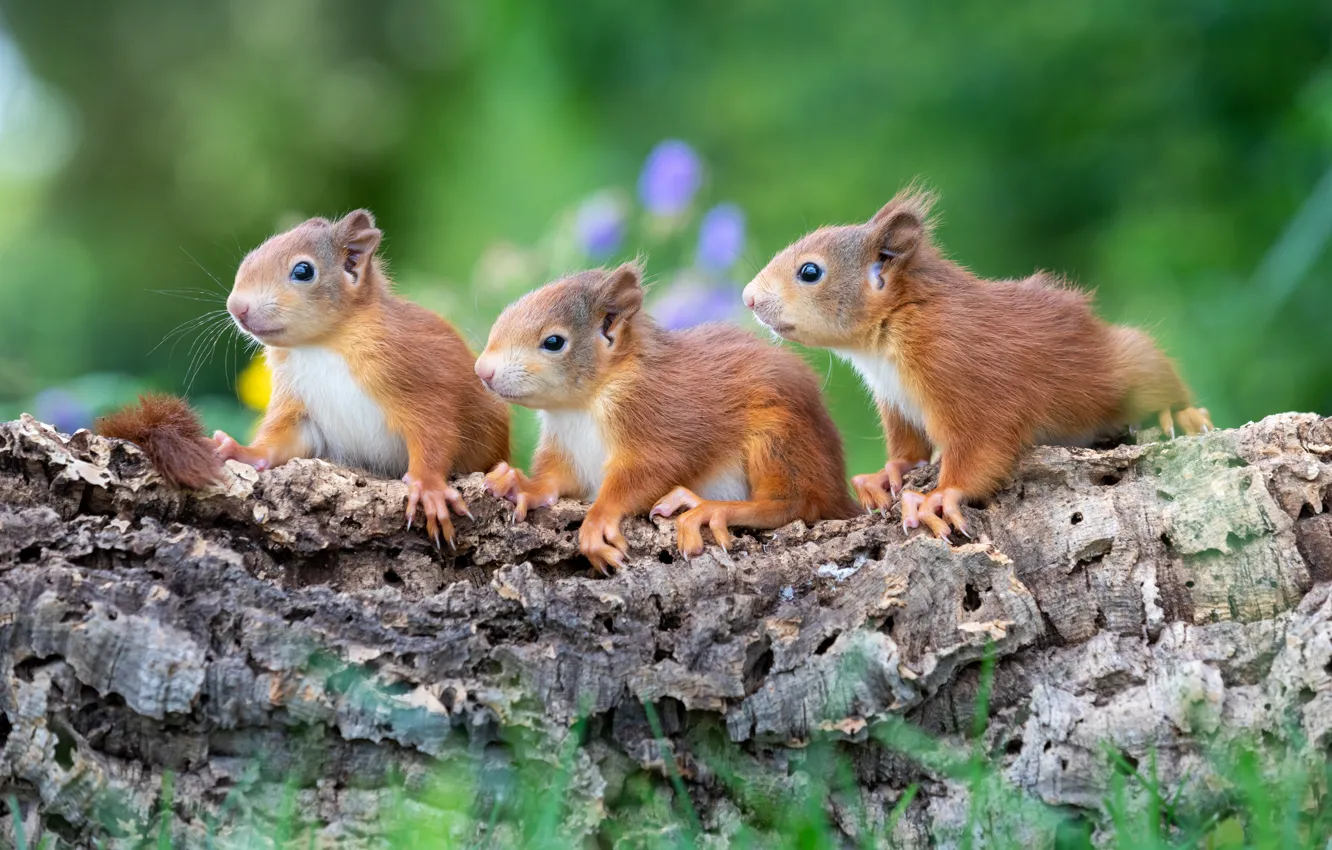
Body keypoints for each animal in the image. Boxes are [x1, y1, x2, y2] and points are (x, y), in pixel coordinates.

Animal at [212, 210, 510, 548]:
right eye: (249, 258)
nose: (237, 307)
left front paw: (428, 487)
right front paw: (241, 451)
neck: (322, 344)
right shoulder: (297, 402)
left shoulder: (418, 379)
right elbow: (279, 443)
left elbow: (435, 432)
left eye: (303, 271)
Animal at [473, 262, 859, 572]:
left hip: (778, 437)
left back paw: (710, 508)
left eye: (554, 342)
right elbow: (554, 481)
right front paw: (523, 486)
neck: (582, 406)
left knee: (794, 503)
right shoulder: (565, 449)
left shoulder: (657, 417)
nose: (482, 370)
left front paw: (598, 519)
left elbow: (648, 472)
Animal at [743, 186, 1211, 540]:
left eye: (810, 272)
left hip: (1122, 370)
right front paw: (882, 476)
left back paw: (1181, 412)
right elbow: (909, 449)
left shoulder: (963, 372)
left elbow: (981, 445)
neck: (885, 341)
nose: (748, 298)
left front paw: (939, 495)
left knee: (1154, 371)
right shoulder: (896, 402)